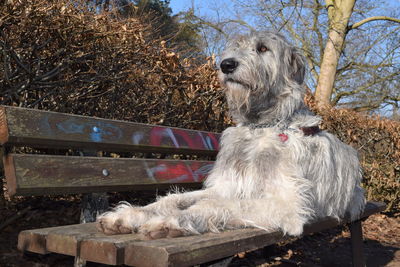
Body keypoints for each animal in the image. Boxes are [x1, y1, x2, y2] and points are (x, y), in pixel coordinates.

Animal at [96, 30, 366, 239]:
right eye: (235, 48)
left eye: (263, 48)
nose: (226, 64)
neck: (259, 127)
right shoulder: (226, 185)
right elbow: (173, 199)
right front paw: (131, 214)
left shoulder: (287, 205)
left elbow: (218, 204)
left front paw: (172, 220)